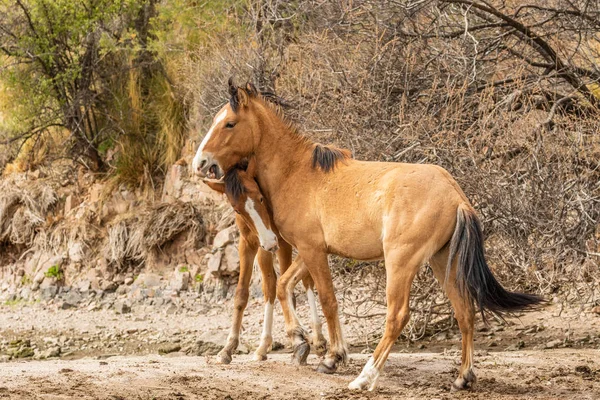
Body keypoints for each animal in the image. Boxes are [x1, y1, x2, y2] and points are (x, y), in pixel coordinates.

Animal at [193, 80, 544, 390]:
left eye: (229, 123)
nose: (200, 162)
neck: (298, 173)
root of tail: (455, 194)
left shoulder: (312, 250)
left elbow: (327, 299)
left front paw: (329, 356)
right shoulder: (309, 250)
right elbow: (283, 286)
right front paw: (306, 342)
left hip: (401, 263)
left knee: (397, 316)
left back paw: (365, 378)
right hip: (442, 261)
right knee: (465, 312)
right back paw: (462, 378)